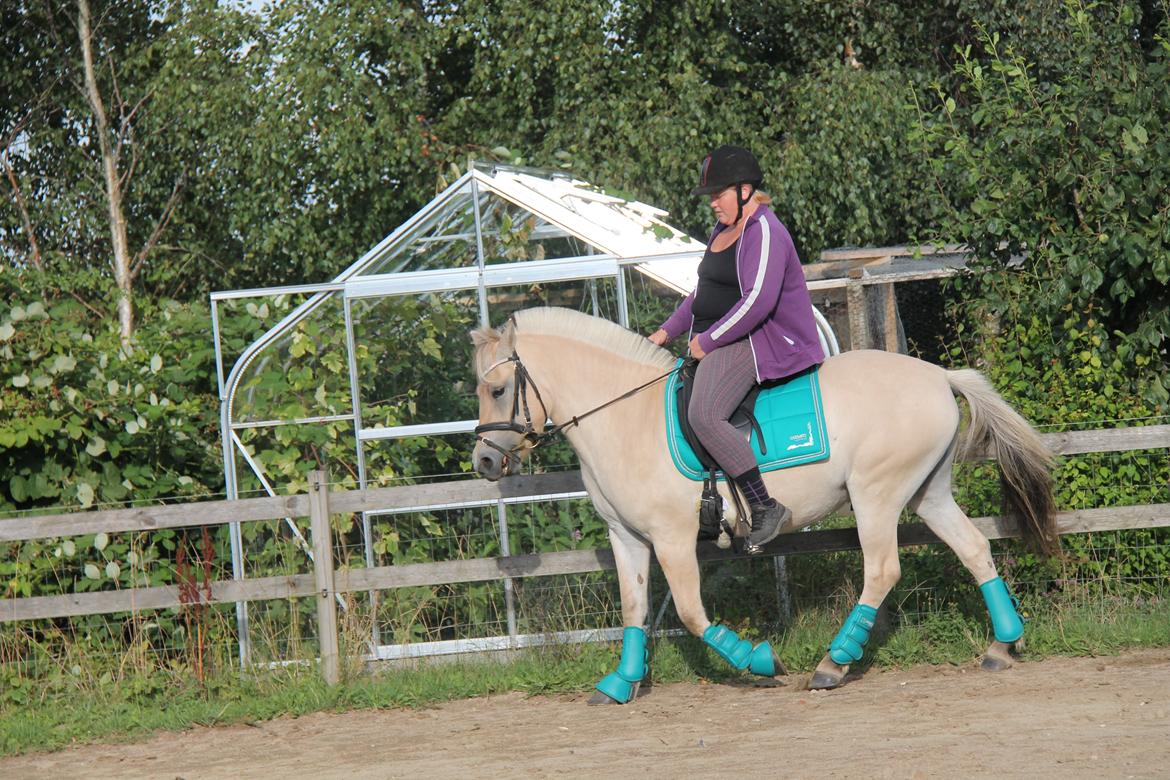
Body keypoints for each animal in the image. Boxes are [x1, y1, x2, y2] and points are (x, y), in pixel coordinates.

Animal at [467, 308, 1062, 706]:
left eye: (496, 389)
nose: (485, 461)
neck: (625, 416)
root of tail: (939, 374)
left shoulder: (672, 537)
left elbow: (691, 613)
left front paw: (759, 659)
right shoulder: (627, 538)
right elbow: (634, 610)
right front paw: (619, 684)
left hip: (876, 495)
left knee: (882, 571)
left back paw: (832, 664)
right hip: (927, 493)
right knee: (975, 549)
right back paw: (1002, 645)